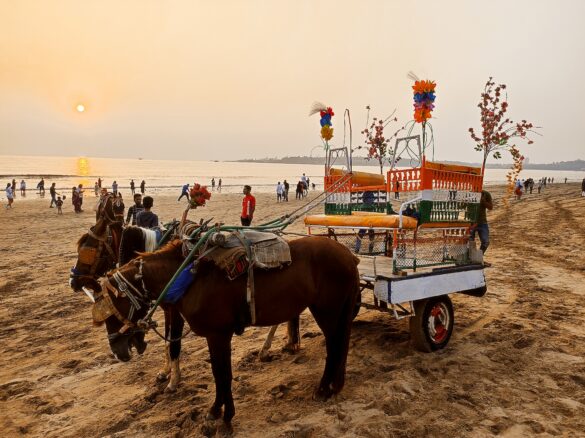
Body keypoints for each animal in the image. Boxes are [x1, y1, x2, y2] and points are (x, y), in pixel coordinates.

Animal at [91, 238, 358, 432]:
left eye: (112, 310)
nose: (117, 350)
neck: (190, 278)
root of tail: (348, 255)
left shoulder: (219, 335)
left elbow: (223, 375)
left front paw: (225, 417)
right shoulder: (214, 337)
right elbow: (218, 373)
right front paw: (216, 411)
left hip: (327, 311)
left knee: (334, 347)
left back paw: (323, 388)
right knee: (338, 345)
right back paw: (332, 386)